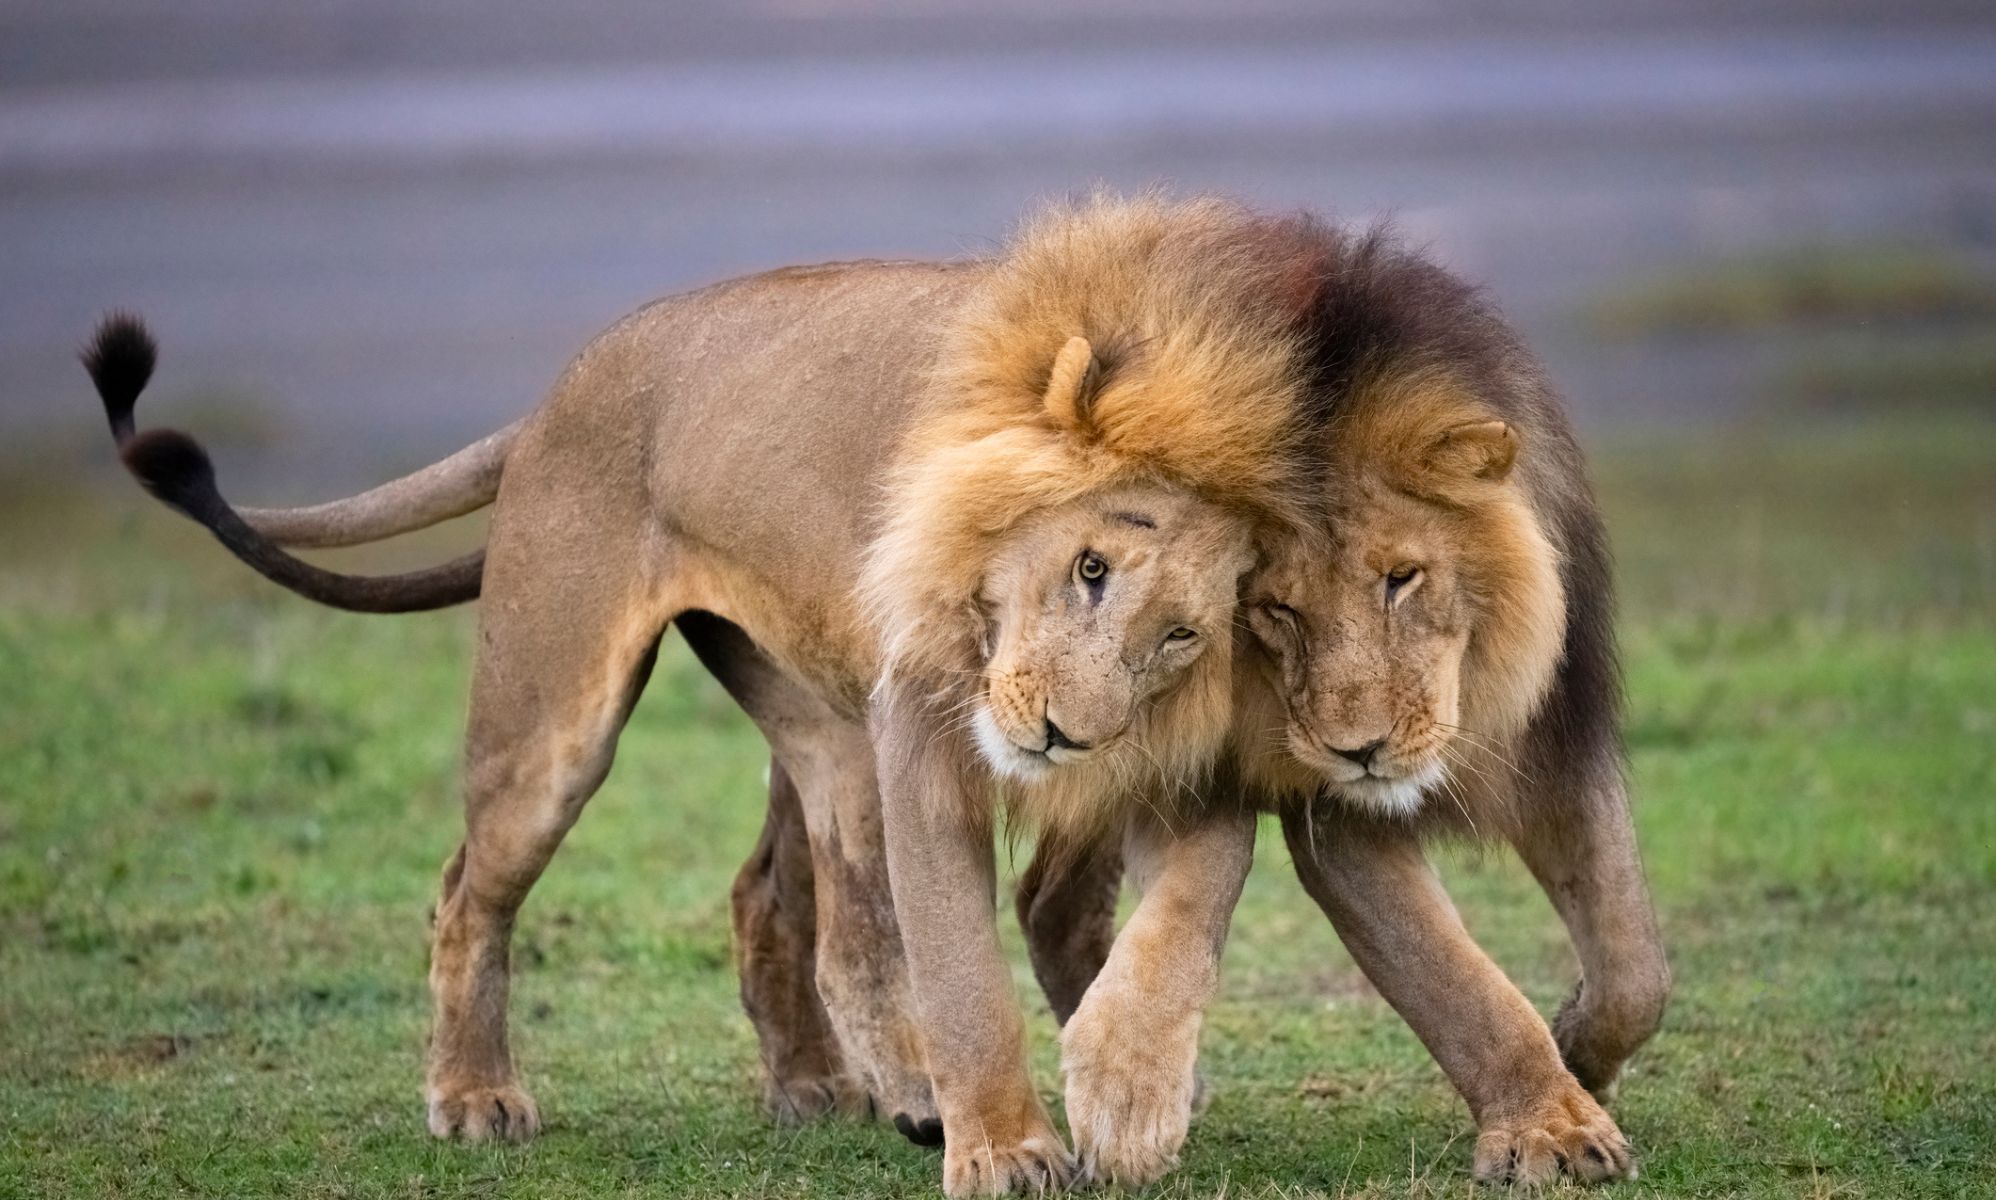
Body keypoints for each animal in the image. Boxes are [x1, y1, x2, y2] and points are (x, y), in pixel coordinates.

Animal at [83, 195, 1324, 1195]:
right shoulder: (934, 718)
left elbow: (1127, 913)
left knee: (785, 894)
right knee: (475, 891)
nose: (1068, 727)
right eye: (1089, 569)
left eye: (1185, 633)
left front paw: (1128, 1094)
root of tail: (558, 392)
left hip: (810, 708)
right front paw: (1009, 1146)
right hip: (565, 719)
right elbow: (970, 955)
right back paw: (480, 1097)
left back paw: (828, 1085)